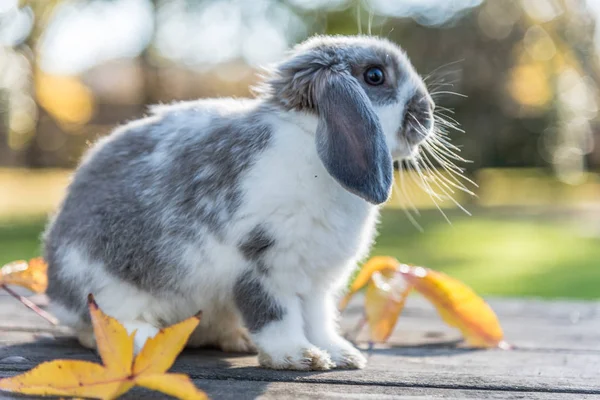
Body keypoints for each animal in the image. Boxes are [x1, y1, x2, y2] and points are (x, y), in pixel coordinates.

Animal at [43, 36, 436, 370]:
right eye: (375, 76)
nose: (428, 112)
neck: (310, 141)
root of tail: (54, 288)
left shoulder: (316, 283)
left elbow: (319, 320)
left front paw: (342, 354)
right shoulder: (261, 263)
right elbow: (275, 314)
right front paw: (298, 356)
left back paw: (238, 338)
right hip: (106, 287)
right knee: (96, 324)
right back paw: (144, 338)